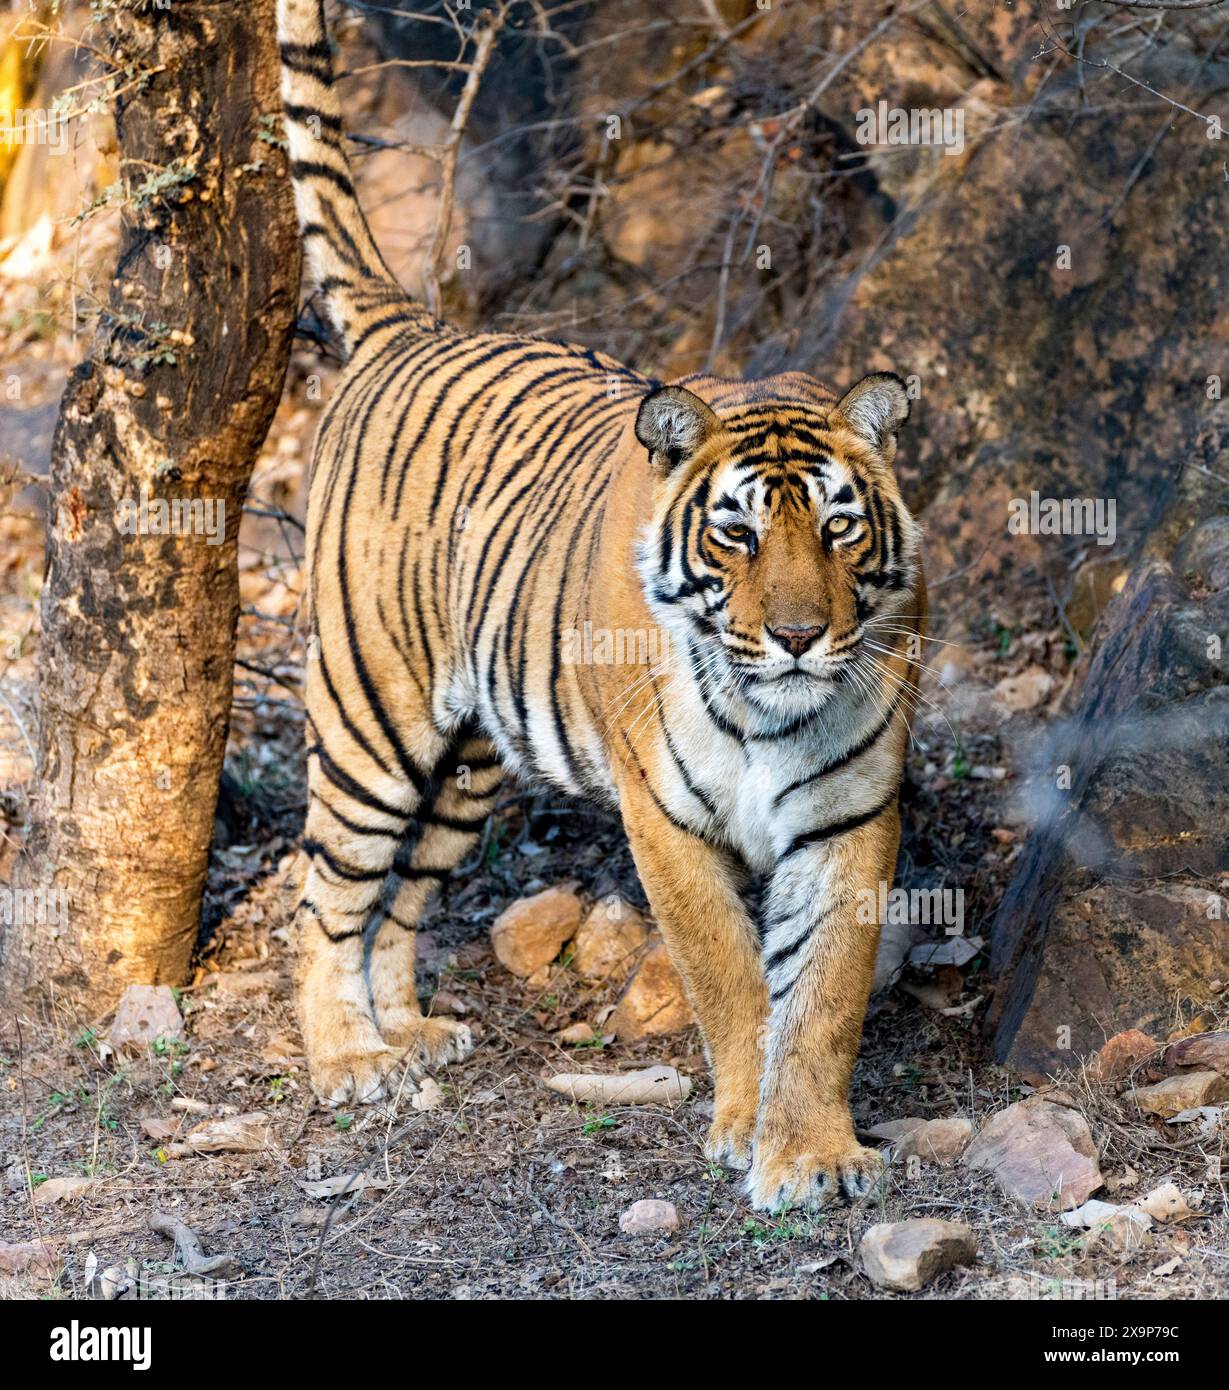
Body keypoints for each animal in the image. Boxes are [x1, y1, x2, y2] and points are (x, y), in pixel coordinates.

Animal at [278, 0, 928, 1212]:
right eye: (735, 533)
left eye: (838, 526)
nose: (799, 635)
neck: (769, 709)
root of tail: (417, 326)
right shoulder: (664, 818)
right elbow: (730, 977)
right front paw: (744, 1126)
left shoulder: (847, 817)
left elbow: (820, 996)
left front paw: (810, 1150)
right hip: (369, 716)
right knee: (329, 889)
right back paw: (347, 1057)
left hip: (470, 761)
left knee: (402, 894)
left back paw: (408, 1032)